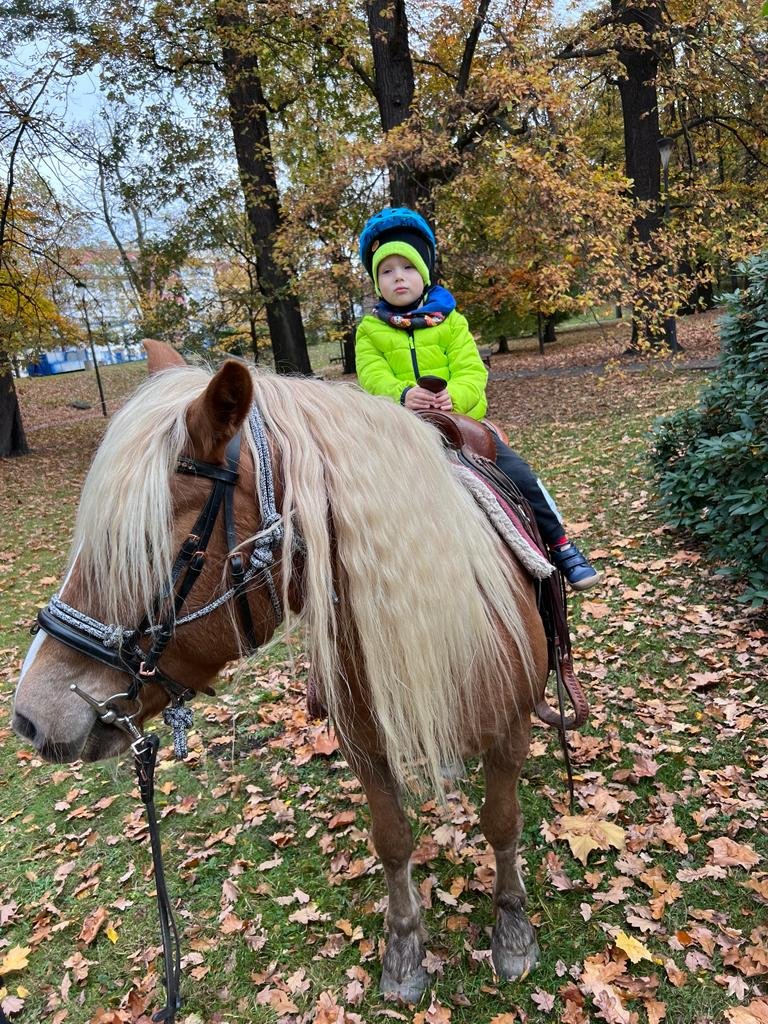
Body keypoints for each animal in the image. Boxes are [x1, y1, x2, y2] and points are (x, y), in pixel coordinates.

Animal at [12, 340, 550, 1003]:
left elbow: (502, 824)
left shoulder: (512, 733)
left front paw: (513, 930)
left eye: (142, 547)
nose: (29, 716)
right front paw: (404, 950)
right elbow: (392, 840)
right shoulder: (364, 748)